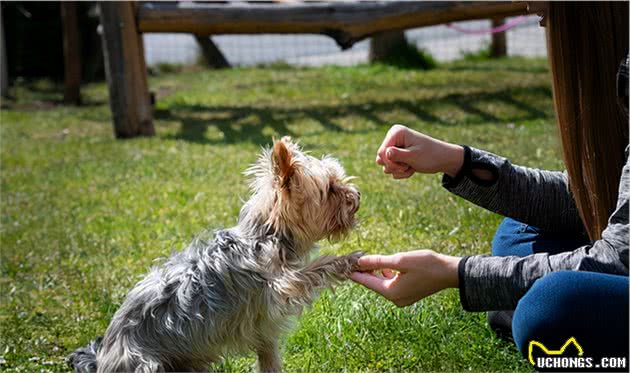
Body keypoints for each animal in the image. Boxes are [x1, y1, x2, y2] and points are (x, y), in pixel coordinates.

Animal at [68, 137, 366, 372]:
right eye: (331, 189)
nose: (358, 195)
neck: (267, 234)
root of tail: (103, 356)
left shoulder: (263, 327)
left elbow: (268, 356)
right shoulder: (281, 285)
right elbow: (316, 268)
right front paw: (348, 260)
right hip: (146, 364)